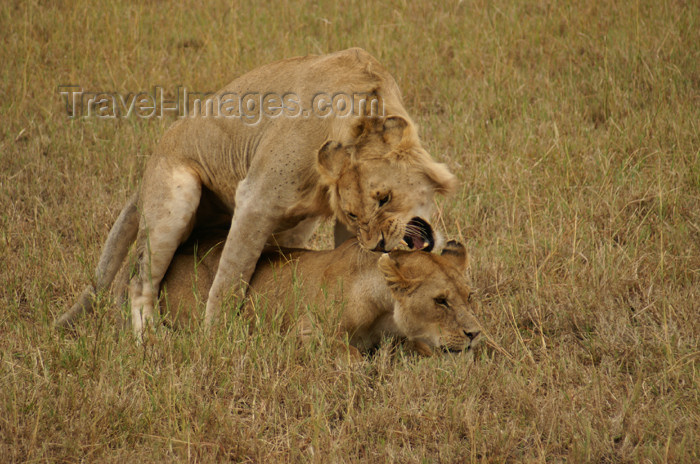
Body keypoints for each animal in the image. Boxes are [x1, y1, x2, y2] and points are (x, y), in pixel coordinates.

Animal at [117, 230, 482, 358]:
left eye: (469, 296)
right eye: (440, 300)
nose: (476, 334)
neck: (383, 311)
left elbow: (422, 345)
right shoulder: (306, 333)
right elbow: (353, 357)